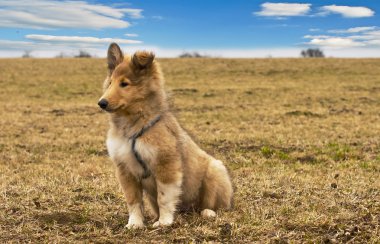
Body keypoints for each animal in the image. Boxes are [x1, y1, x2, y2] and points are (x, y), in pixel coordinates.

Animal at [98, 43, 233, 229]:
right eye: (110, 83)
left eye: (124, 84)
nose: (101, 103)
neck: (133, 126)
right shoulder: (125, 169)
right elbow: (133, 201)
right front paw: (135, 224)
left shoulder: (166, 165)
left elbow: (164, 198)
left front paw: (164, 222)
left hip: (215, 171)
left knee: (216, 206)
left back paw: (208, 212)